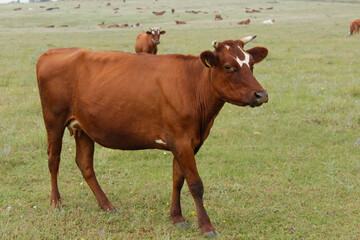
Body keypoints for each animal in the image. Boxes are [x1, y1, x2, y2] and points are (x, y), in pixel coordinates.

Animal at [36, 35, 268, 238]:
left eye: (251, 64)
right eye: (228, 66)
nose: (261, 95)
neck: (192, 86)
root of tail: (52, 52)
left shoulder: (186, 143)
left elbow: (177, 180)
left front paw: (177, 218)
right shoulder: (182, 142)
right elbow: (195, 184)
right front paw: (207, 227)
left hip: (83, 127)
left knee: (85, 164)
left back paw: (107, 205)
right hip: (53, 120)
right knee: (54, 159)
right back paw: (56, 203)